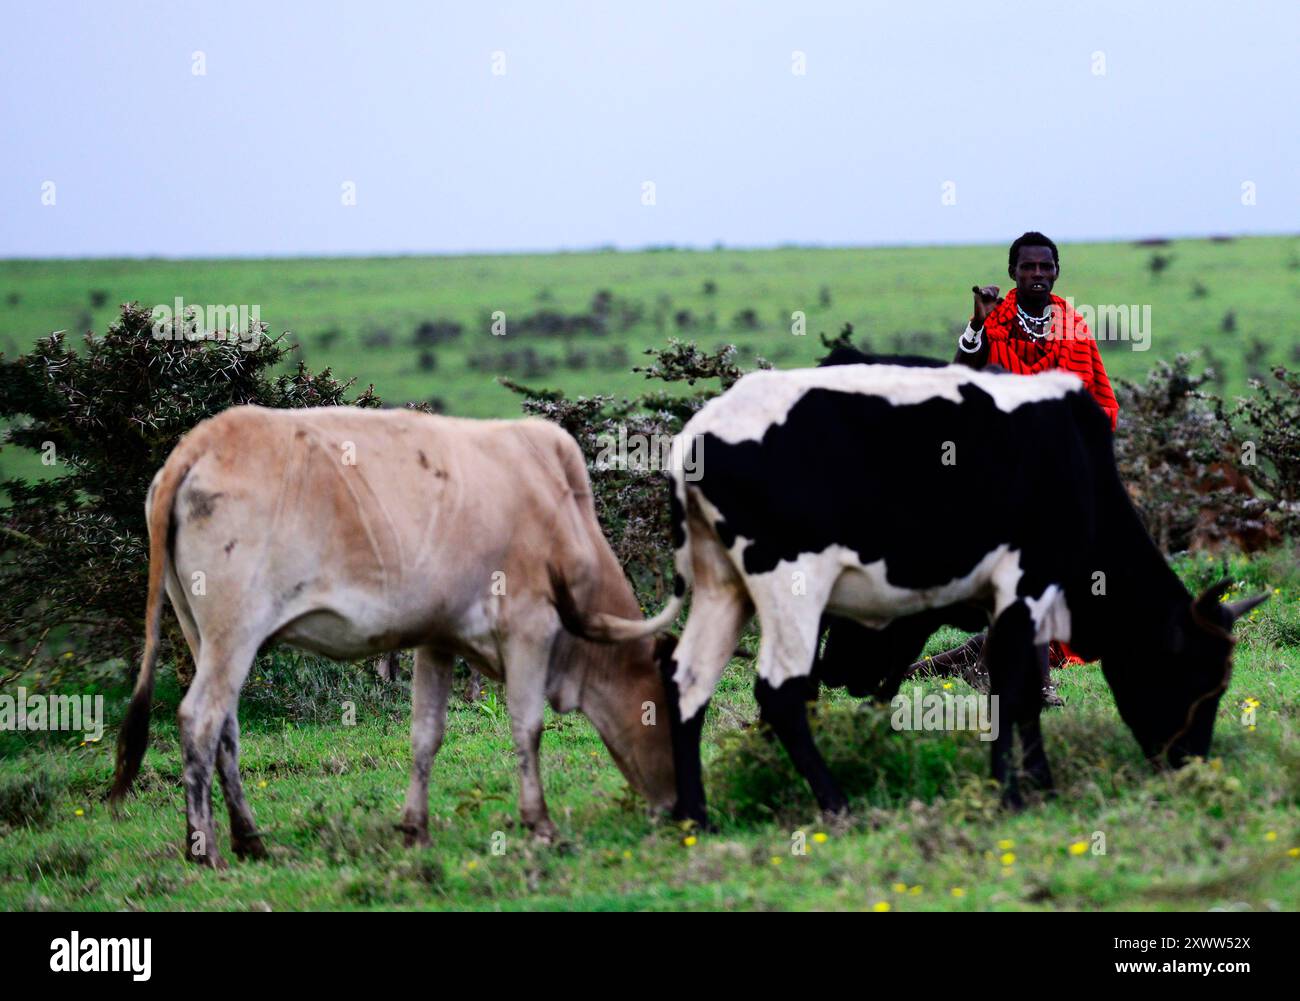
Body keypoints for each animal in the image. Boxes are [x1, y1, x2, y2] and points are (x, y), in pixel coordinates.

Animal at [107, 405, 676, 863]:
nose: (682, 808)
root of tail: (200, 444)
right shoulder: (529, 629)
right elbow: (527, 728)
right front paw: (541, 825)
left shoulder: (440, 639)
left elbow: (426, 734)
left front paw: (414, 829)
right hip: (235, 634)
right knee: (199, 719)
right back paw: (205, 851)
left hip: (203, 635)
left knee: (226, 729)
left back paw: (250, 841)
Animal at [553, 353, 1263, 821]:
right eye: (1199, 675)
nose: (1187, 764)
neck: (1081, 470)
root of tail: (699, 432)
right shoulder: (1025, 586)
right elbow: (1016, 689)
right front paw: (1017, 793)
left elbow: (1014, 692)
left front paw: (1031, 783)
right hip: (789, 584)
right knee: (780, 691)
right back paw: (836, 805)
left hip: (723, 587)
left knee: (688, 681)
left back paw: (696, 817)